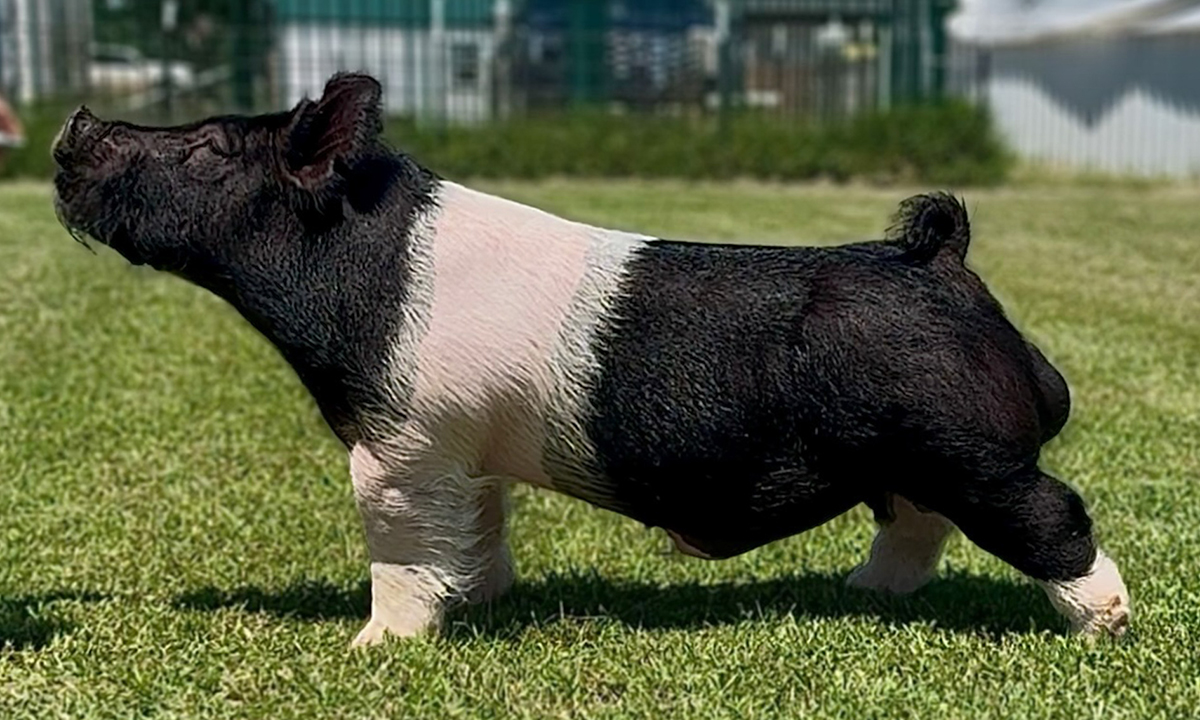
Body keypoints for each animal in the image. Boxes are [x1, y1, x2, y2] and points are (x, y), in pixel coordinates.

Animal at [51, 72, 1130, 645]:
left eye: (207, 151)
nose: (73, 124)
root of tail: (940, 257)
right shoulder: (462, 449)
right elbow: (476, 529)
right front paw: (484, 603)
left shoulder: (398, 443)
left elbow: (397, 548)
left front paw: (372, 648)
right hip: (911, 452)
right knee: (917, 522)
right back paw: (860, 595)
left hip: (971, 447)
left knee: (1052, 514)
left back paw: (1103, 626)